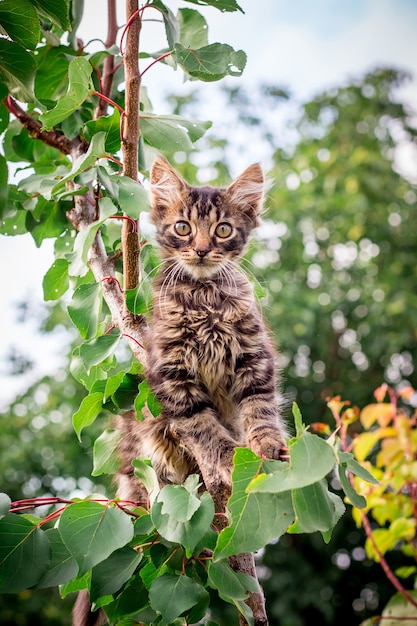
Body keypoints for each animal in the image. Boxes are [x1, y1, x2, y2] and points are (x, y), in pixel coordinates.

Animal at [115, 157, 288, 508]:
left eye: (223, 229)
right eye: (184, 227)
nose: (202, 250)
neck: (204, 298)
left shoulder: (254, 356)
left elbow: (260, 407)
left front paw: (266, 443)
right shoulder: (172, 373)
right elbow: (202, 426)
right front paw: (230, 460)